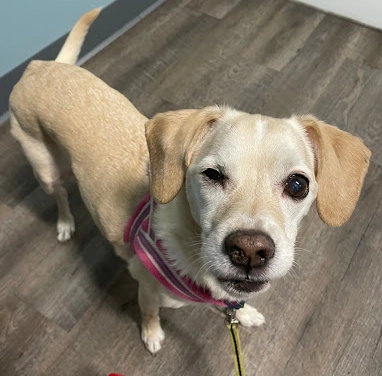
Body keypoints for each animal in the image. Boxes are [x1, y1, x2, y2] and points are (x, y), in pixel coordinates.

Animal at [8, 9, 372, 356]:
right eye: (212, 174)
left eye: (298, 185)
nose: (249, 251)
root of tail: (42, 66)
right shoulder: (146, 288)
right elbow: (149, 313)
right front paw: (152, 335)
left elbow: (235, 304)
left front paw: (246, 313)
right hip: (44, 168)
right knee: (59, 196)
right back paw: (65, 224)